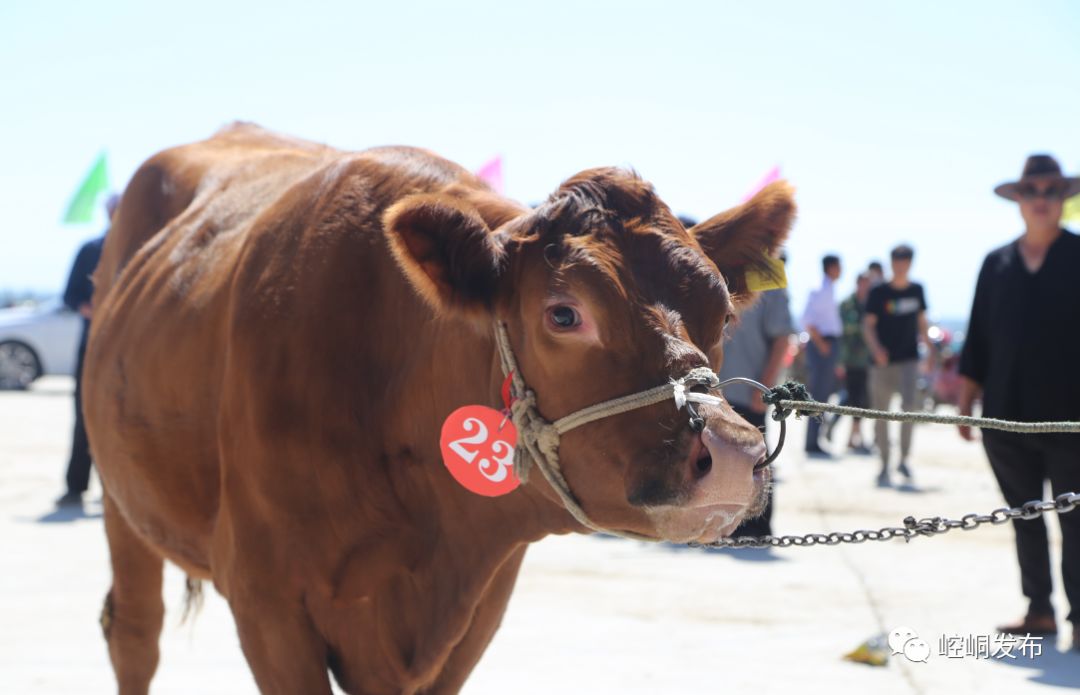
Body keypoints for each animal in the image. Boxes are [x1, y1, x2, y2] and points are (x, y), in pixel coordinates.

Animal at [84, 124, 794, 695]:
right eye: (564, 314)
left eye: (724, 315)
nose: (733, 452)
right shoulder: (267, 602)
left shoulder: (476, 610)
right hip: (121, 501)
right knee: (134, 636)